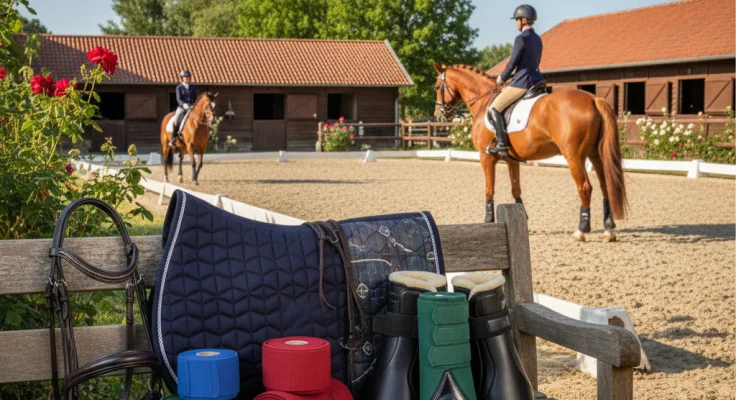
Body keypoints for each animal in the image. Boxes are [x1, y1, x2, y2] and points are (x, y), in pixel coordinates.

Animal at [433, 63, 627, 242]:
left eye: (436, 87)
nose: (439, 114)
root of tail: (594, 100)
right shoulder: (511, 160)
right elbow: (515, 189)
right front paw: (522, 219)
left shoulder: (486, 157)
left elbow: (489, 189)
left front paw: (488, 221)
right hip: (596, 155)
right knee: (605, 186)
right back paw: (609, 230)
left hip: (574, 157)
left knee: (585, 187)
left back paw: (581, 230)